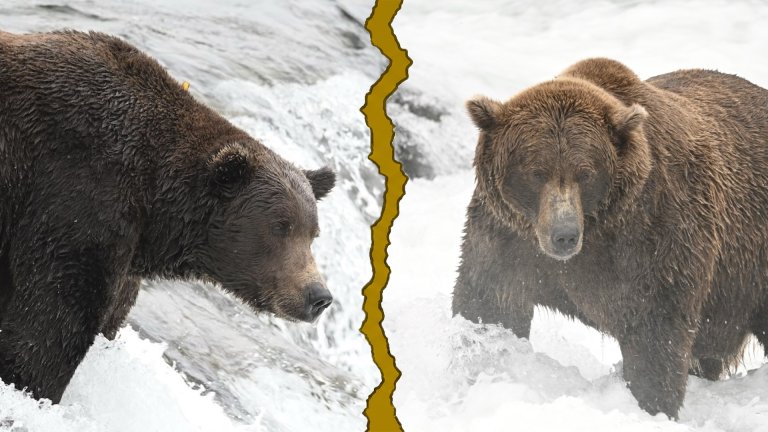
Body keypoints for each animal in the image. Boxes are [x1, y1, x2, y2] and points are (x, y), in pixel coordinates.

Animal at [0, 29, 336, 403]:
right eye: (280, 228)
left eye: (313, 234)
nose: (318, 296)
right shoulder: (77, 193)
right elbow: (51, 321)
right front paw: (32, 385)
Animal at [452, 57, 768, 418]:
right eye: (536, 171)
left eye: (585, 173)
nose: (564, 235)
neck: (597, 232)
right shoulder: (506, 238)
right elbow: (489, 304)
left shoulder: (656, 236)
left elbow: (656, 334)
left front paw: (651, 405)